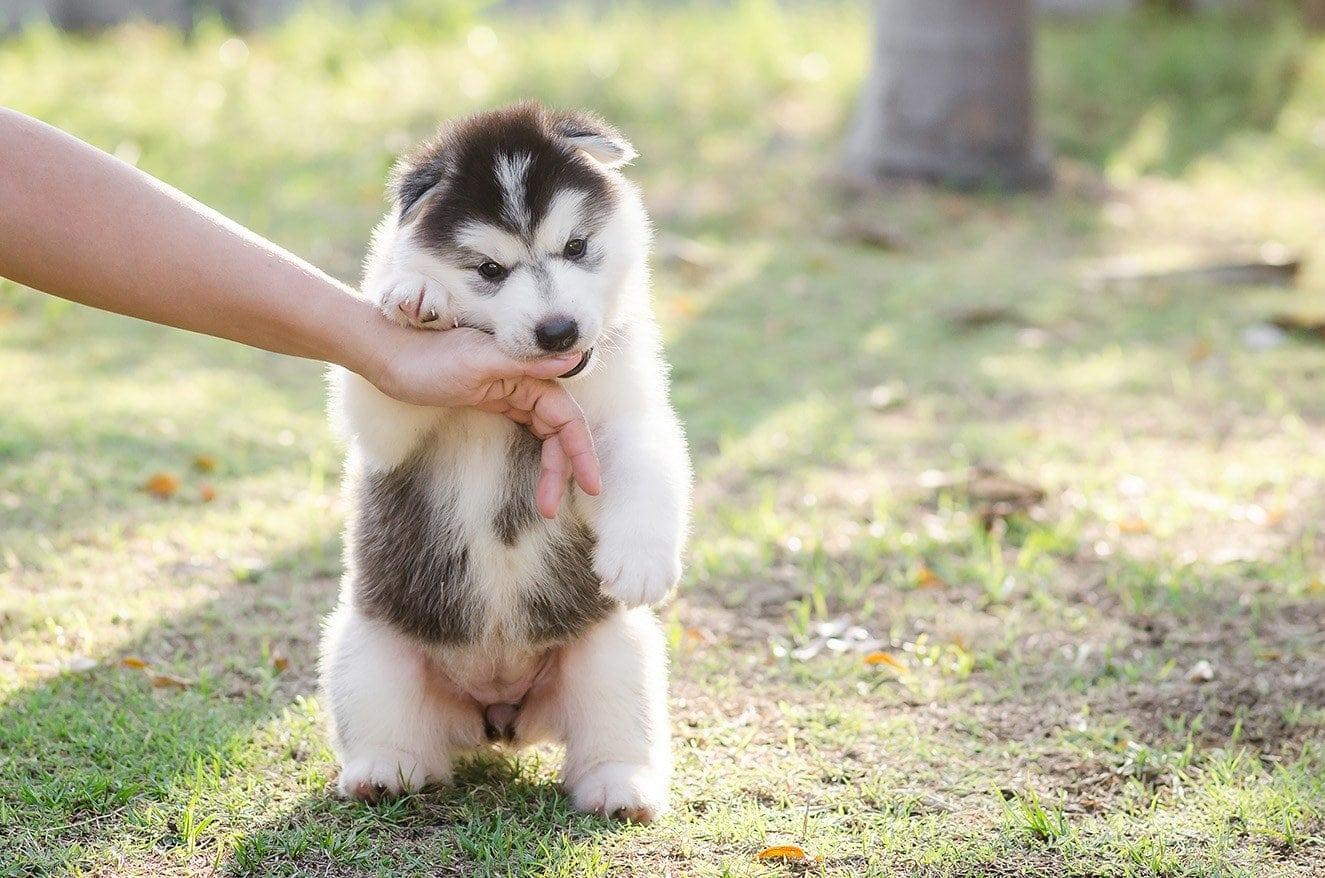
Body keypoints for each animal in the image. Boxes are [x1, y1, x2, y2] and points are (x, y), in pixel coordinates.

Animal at [321, 103, 694, 826]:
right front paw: (415, 291)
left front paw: (639, 558)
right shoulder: (390, 426)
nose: (558, 332)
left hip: (616, 650)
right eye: (489, 269)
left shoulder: (622, 417)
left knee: (612, 729)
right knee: (396, 731)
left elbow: (645, 463)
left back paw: (620, 785)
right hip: (364, 647)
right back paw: (383, 770)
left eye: (576, 247)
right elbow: (384, 395)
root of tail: (498, 712)